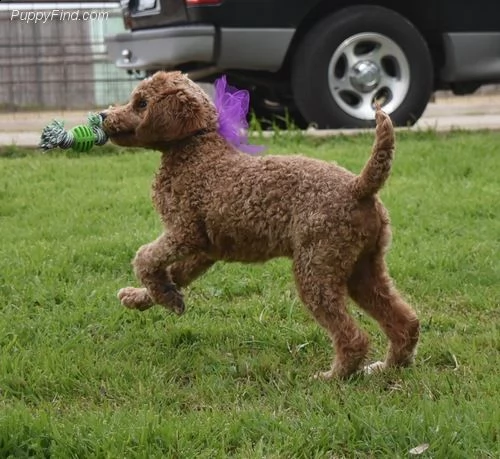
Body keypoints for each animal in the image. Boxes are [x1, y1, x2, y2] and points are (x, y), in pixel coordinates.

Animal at [100, 72, 418, 380]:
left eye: (141, 103)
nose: (103, 115)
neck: (194, 150)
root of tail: (358, 187)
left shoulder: (184, 233)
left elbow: (145, 258)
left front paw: (158, 295)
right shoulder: (203, 250)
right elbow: (173, 274)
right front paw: (152, 297)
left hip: (316, 266)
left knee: (354, 337)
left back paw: (333, 376)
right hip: (362, 267)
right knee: (405, 321)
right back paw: (387, 367)